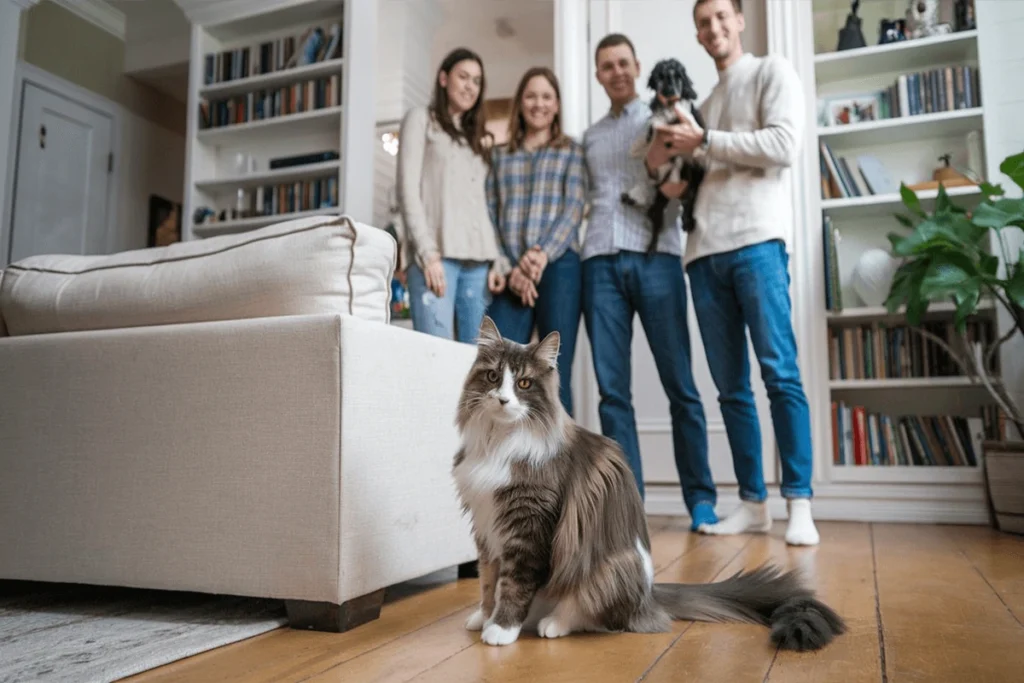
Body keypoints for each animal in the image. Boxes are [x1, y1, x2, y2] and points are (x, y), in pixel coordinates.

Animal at [452, 317, 843, 651]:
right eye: (492, 377)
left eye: (523, 384)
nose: (503, 400)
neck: (497, 443)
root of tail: (650, 593)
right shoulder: (487, 528)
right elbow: (488, 581)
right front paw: (484, 617)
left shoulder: (529, 527)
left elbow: (514, 584)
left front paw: (501, 630)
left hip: (608, 567)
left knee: (597, 616)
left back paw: (554, 623)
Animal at [618, 57, 708, 252]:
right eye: (661, 77)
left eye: (679, 77)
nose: (670, 91)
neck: (669, 106)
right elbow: (652, 126)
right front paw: (639, 145)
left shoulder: (689, 119)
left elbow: (693, 128)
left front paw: (700, 146)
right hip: (659, 199)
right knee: (654, 217)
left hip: (691, 184)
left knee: (689, 203)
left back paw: (687, 222)